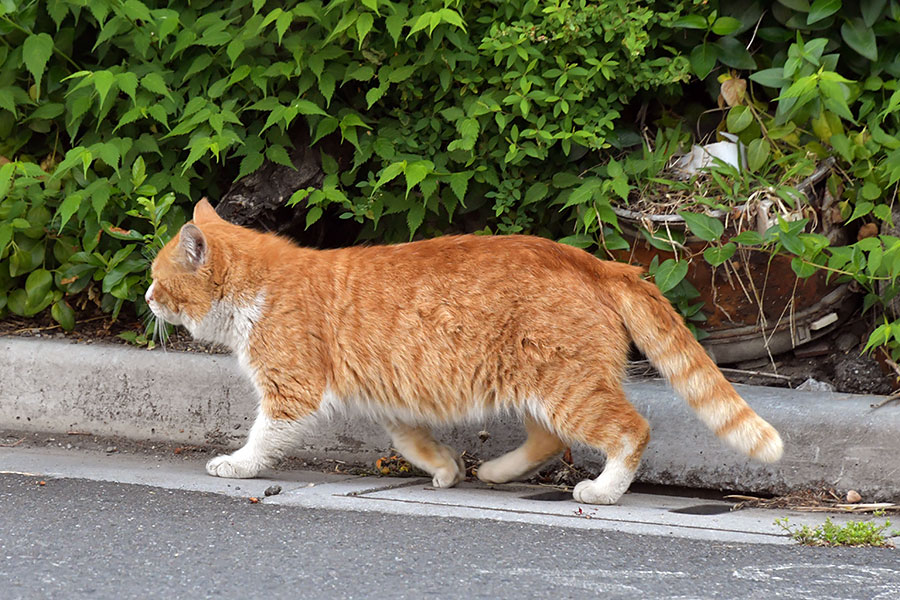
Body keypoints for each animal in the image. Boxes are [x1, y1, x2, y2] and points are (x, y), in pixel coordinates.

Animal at [146, 199, 780, 504]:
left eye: (157, 278)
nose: (146, 298)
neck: (261, 286)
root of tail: (595, 261)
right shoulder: (391, 398)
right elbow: (411, 441)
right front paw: (446, 469)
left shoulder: (289, 393)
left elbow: (261, 439)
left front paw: (237, 464)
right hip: (539, 384)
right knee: (547, 438)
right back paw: (495, 472)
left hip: (567, 387)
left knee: (630, 430)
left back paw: (601, 491)